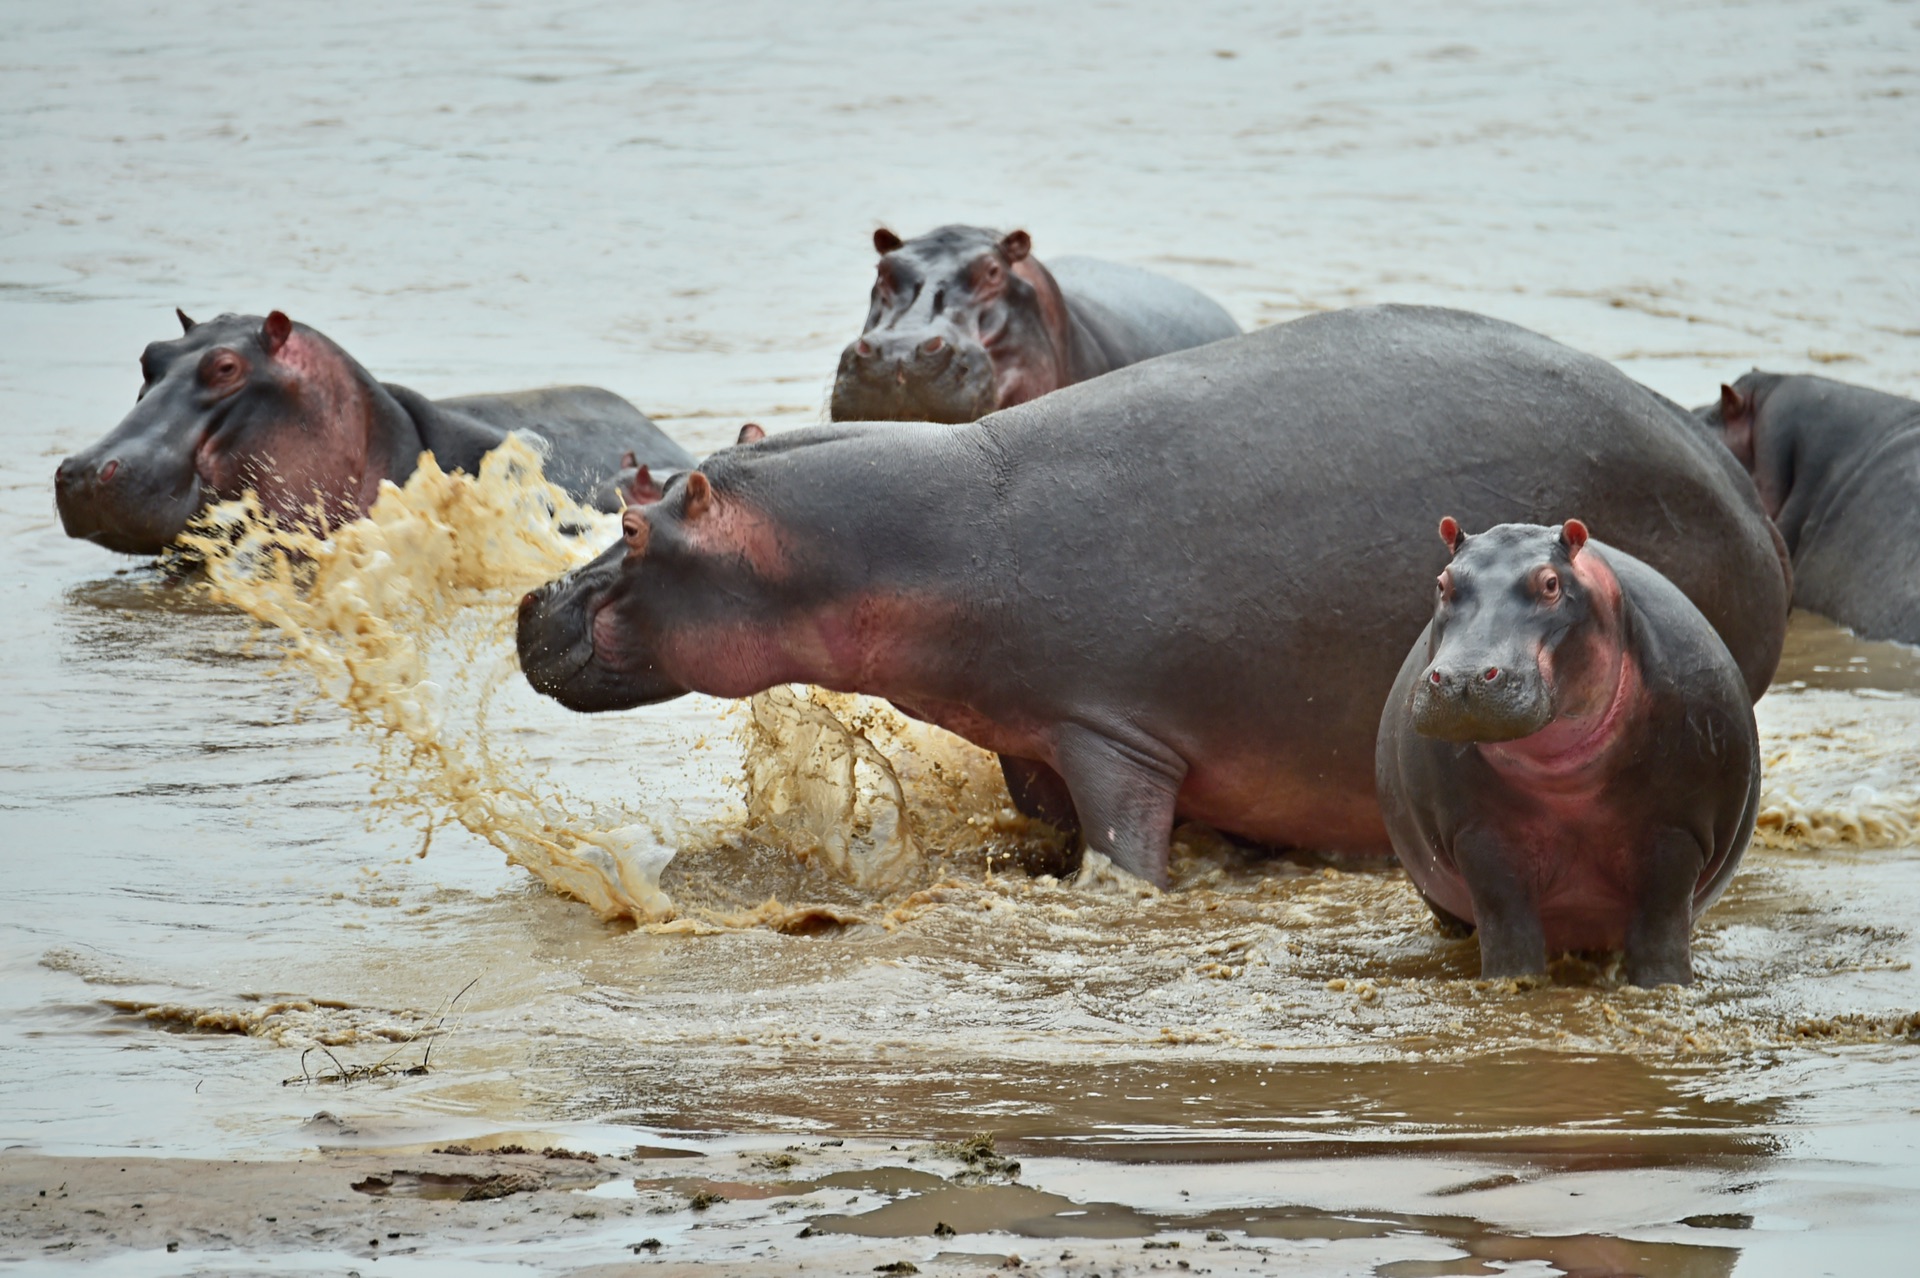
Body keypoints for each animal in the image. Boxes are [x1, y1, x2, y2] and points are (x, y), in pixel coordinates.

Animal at [514, 303, 1781, 882]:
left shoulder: (1114, 736)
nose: (526, 608)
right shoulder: (1027, 733)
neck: (920, 534)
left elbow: (1122, 849)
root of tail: (1735, 482)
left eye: (635, 525)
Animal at [1374, 518, 1758, 982]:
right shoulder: (1479, 835)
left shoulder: (1678, 831)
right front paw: (1512, 982)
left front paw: (1665, 984)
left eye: (1551, 584)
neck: (1564, 777)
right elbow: (1507, 928)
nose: (1461, 678)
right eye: (1443, 583)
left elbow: (1661, 931)